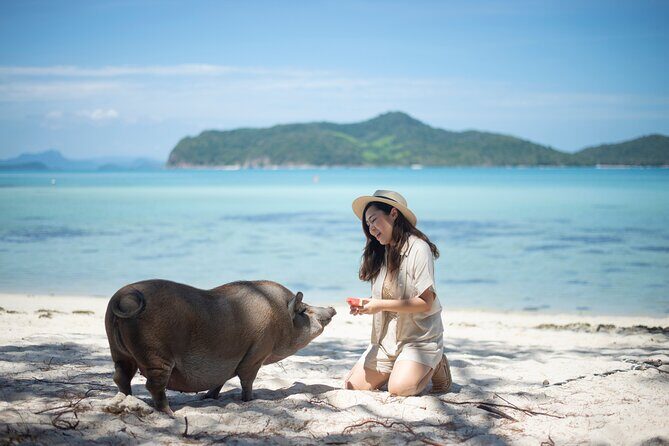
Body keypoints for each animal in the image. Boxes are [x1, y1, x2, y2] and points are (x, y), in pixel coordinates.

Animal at [104, 279, 336, 416]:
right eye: (304, 310)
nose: (332, 308)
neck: (280, 317)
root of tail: (123, 297)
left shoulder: (230, 362)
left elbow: (221, 379)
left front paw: (208, 397)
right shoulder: (257, 352)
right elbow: (246, 379)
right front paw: (250, 401)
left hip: (119, 352)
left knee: (120, 377)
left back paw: (127, 400)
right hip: (155, 354)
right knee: (153, 385)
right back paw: (170, 413)